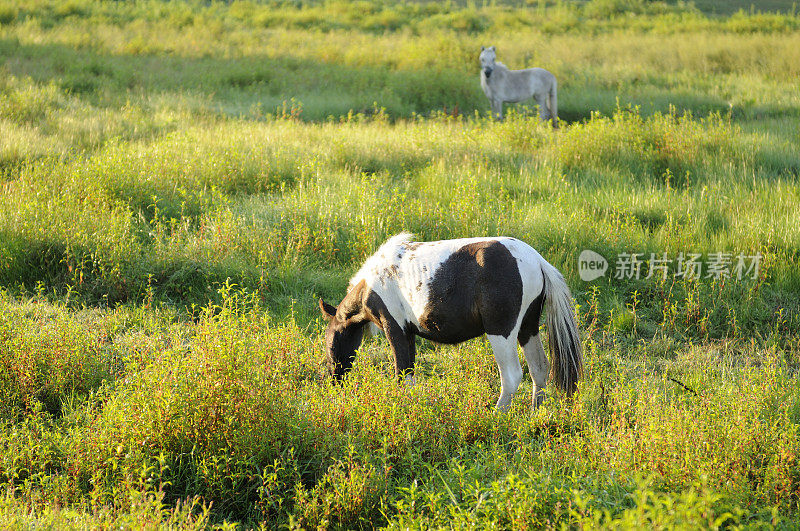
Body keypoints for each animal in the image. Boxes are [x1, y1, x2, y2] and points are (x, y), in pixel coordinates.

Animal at [318, 234, 580, 412]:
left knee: (512, 376)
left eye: (330, 343)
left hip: (501, 332)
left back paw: (496, 415)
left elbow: (402, 373)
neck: (372, 285)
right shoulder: (408, 332)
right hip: (527, 328)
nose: (333, 381)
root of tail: (538, 261)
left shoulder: (395, 328)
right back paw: (535, 413)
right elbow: (409, 373)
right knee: (539, 369)